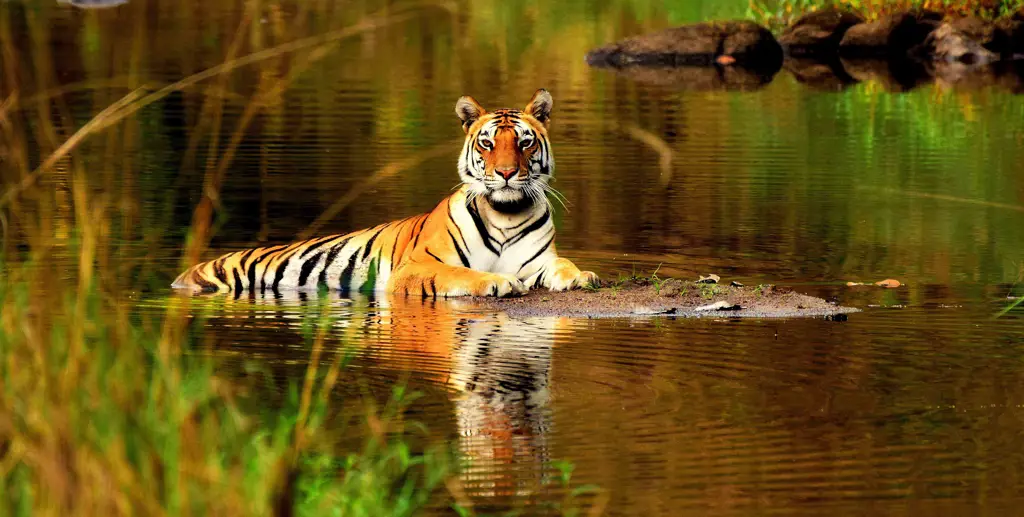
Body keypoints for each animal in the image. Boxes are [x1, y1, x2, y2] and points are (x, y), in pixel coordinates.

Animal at [169, 90, 598, 296]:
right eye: (488, 144)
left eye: (524, 143)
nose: (507, 173)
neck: (506, 213)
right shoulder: (417, 267)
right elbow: (461, 273)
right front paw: (498, 282)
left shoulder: (539, 260)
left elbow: (563, 265)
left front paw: (582, 276)